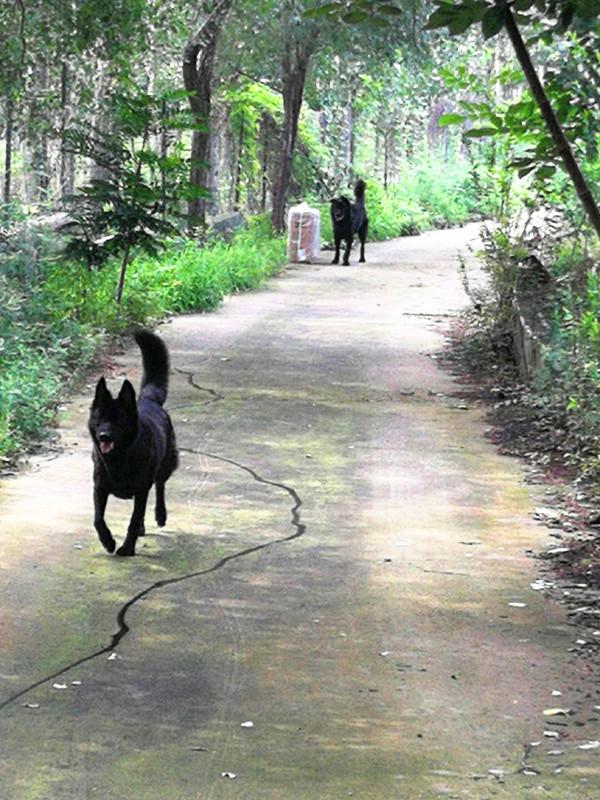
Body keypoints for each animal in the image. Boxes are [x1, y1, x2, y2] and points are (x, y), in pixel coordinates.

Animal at [87, 330, 178, 556]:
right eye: (99, 418)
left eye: (118, 420)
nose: (103, 436)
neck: (120, 457)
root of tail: (147, 400)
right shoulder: (99, 488)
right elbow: (98, 519)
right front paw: (108, 542)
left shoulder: (141, 488)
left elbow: (133, 520)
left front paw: (127, 548)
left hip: (166, 466)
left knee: (160, 487)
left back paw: (160, 515)